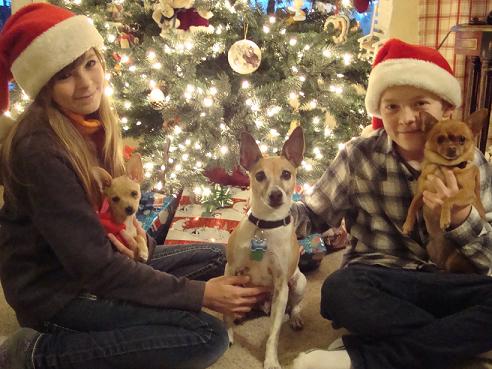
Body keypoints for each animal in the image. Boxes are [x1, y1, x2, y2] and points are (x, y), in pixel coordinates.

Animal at [225, 126, 306, 368]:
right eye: (260, 176)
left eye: (286, 174)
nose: (276, 194)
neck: (266, 226)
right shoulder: (231, 270)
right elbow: (226, 310)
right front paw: (228, 333)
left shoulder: (281, 285)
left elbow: (273, 334)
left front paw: (270, 360)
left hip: (299, 283)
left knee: (296, 305)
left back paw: (296, 318)